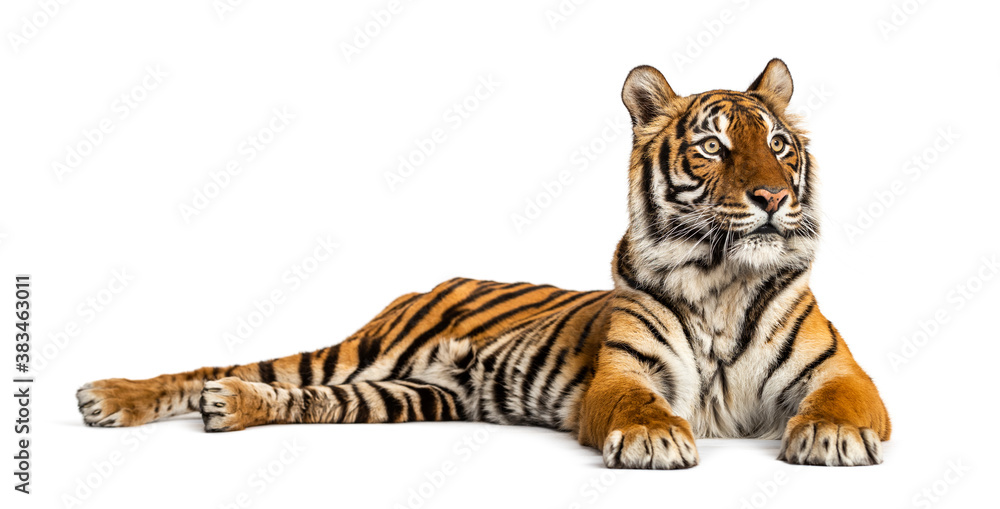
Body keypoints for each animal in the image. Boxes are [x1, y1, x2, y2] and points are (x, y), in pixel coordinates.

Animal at [77, 58, 890, 469]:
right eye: (715, 146)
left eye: (779, 145)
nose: (772, 197)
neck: (722, 280)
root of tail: (432, 281)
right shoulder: (624, 375)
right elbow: (639, 405)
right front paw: (657, 438)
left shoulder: (842, 372)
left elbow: (843, 403)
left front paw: (830, 437)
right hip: (361, 352)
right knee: (221, 369)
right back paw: (108, 396)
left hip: (411, 395)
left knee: (307, 399)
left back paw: (231, 407)